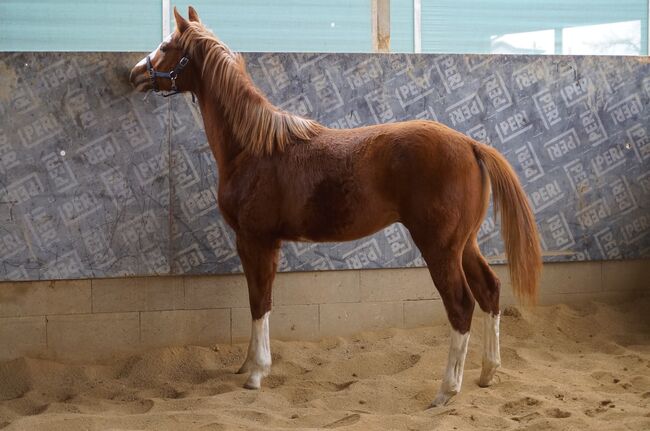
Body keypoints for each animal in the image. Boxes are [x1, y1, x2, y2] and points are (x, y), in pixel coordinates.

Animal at [128, 7, 540, 408]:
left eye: (166, 46)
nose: (135, 73)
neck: (254, 147)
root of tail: (471, 144)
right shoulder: (264, 244)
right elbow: (259, 299)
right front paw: (247, 364)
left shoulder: (255, 240)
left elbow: (259, 300)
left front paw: (257, 374)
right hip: (464, 244)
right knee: (489, 291)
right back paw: (487, 374)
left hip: (439, 248)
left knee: (461, 305)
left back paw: (446, 391)